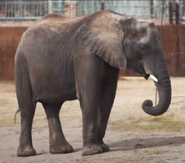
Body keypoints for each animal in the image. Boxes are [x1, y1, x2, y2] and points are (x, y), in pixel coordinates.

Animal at [14, 9, 172, 157]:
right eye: (143, 48)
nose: (148, 102)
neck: (121, 22)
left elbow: (108, 97)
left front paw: (103, 148)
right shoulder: (85, 54)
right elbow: (89, 95)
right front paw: (93, 152)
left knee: (53, 107)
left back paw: (62, 150)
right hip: (22, 63)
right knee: (28, 108)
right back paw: (27, 153)